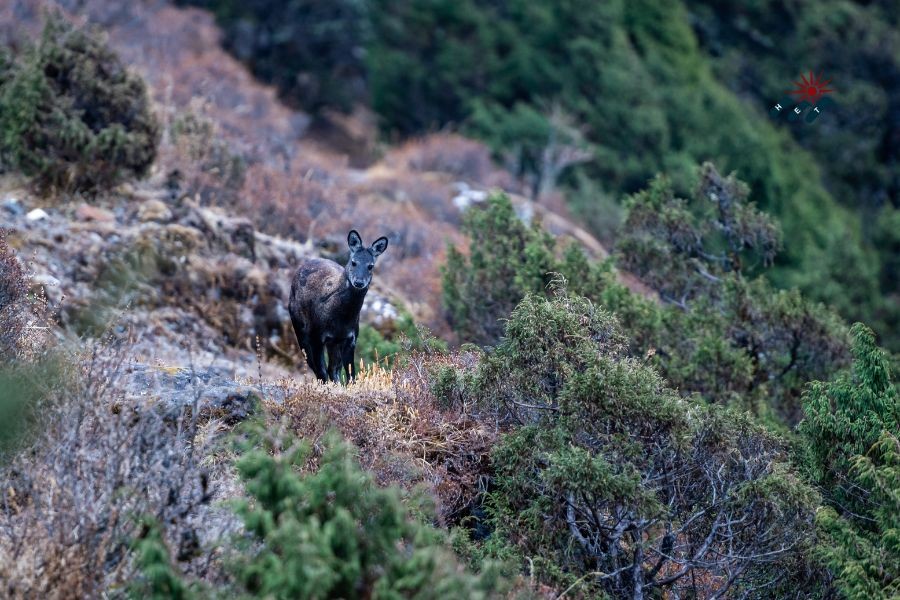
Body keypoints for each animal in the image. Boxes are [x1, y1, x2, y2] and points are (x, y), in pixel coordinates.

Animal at [288, 230, 386, 384]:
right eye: (353, 262)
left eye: (370, 266)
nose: (359, 282)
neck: (341, 318)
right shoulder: (316, 336)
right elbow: (321, 370)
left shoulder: (350, 338)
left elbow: (351, 373)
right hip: (300, 329)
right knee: (313, 365)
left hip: (334, 343)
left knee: (333, 368)